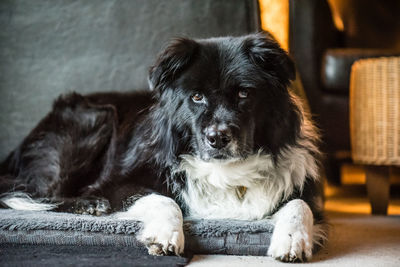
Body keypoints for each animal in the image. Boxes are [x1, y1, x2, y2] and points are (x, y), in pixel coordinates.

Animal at [0, 32, 324, 262]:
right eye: (196, 97)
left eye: (244, 93)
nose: (217, 138)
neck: (224, 172)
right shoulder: (118, 183)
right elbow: (162, 199)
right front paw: (166, 235)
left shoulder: (298, 185)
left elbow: (300, 204)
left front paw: (293, 239)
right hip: (94, 121)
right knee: (39, 192)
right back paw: (89, 205)